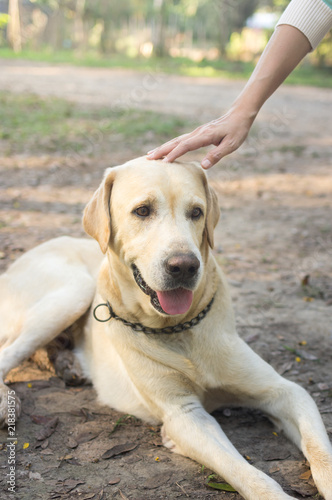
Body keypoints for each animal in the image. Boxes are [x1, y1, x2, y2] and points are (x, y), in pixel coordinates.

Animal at [0, 157, 332, 500]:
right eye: (142, 210)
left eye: (196, 212)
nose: (184, 266)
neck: (179, 329)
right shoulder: (184, 414)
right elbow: (246, 472)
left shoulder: (285, 391)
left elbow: (320, 449)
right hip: (75, 291)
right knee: (8, 353)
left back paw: (67, 365)